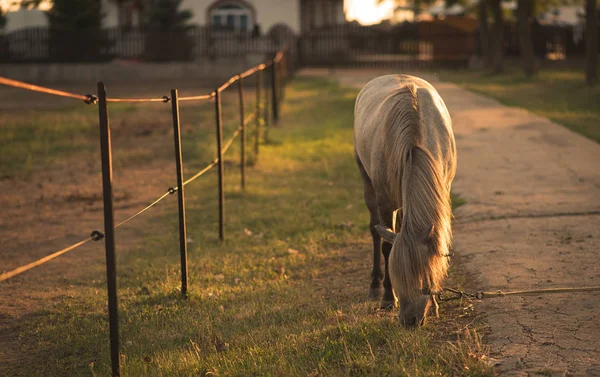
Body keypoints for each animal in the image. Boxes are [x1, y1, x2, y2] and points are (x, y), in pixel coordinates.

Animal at [354, 74, 458, 326]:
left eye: (422, 278)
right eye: (397, 274)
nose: (409, 320)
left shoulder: (443, 190)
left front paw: (436, 304)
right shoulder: (385, 202)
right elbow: (387, 245)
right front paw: (387, 298)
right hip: (366, 180)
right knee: (375, 231)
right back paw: (375, 285)